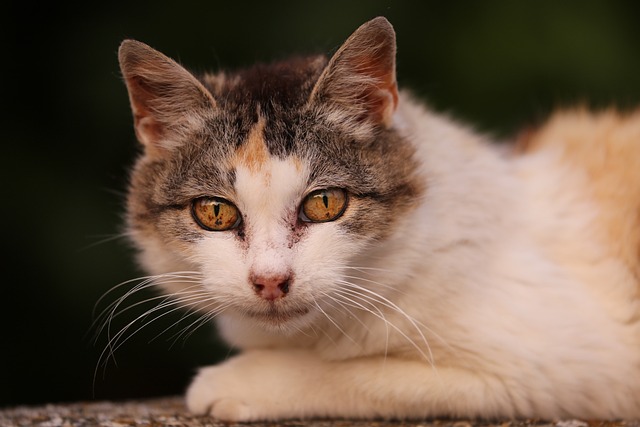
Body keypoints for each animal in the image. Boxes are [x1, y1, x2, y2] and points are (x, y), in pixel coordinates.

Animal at [117, 15, 640, 422]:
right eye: (215, 211)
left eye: (325, 203)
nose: (269, 280)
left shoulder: (564, 366)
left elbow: (355, 374)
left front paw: (241, 381)